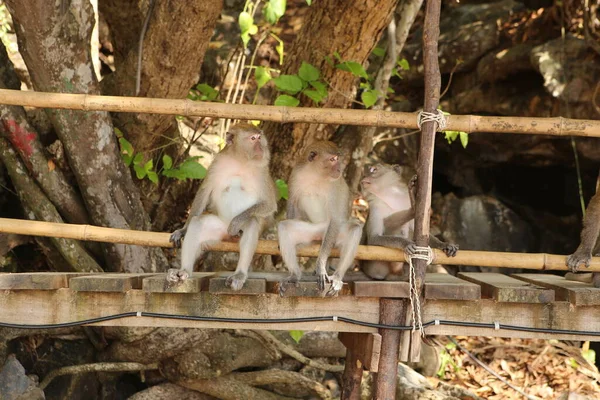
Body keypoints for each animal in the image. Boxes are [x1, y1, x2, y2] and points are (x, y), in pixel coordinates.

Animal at [168, 123, 278, 290]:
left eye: (260, 137)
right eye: (253, 138)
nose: (261, 148)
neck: (240, 161)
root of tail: (227, 236)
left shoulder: (263, 172)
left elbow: (269, 204)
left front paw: (236, 222)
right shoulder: (218, 162)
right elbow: (204, 192)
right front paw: (183, 230)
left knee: (252, 222)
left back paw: (240, 273)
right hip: (218, 229)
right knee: (198, 222)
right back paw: (185, 270)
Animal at [278, 140, 364, 294]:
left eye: (338, 159)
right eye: (332, 159)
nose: (339, 169)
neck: (315, 174)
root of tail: (318, 237)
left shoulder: (335, 185)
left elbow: (335, 217)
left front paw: (320, 266)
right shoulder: (296, 175)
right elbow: (292, 203)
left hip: (332, 235)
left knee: (354, 229)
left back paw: (337, 277)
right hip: (311, 232)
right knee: (284, 226)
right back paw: (294, 276)